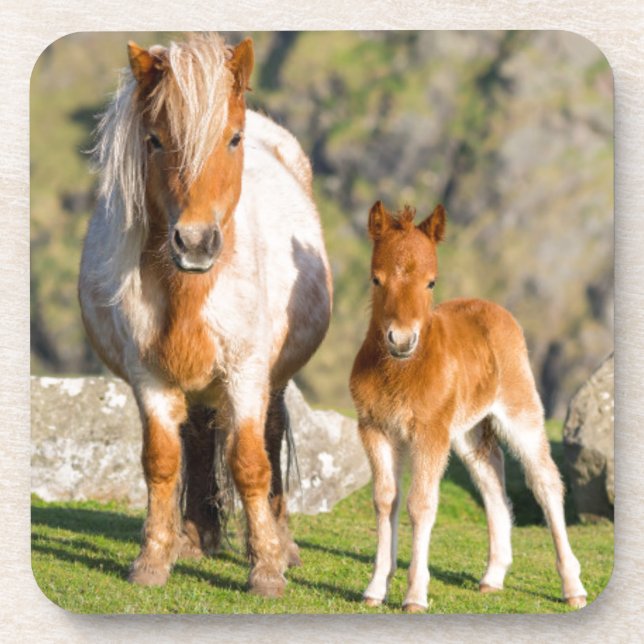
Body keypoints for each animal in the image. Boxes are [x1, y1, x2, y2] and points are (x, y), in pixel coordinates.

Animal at [78, 33, 332, 598]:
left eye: (233, 140)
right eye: (153, 141)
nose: (195, 243)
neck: (189, 290)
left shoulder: (246, 372)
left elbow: (251, 463)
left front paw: (266, 570)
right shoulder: (148, 376)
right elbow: (161, 461)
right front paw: (153, 560)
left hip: (272, 377)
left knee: (270, 436)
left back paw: (282, 544)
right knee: (195, 437)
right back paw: (197, 538)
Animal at [349, 201, 586, 612]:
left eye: (431, 282)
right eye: (376, 279)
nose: (401, 340)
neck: (401, 371)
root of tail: (494, 309)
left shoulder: (430, 433)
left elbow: (421, 504)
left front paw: (415, 595)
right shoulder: (375, 429)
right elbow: (385, 500)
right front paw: (375, 588)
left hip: (520, 411)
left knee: (545, 481)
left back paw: (573, 587)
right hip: (467, 431)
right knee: (491, 479)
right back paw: (493, 577)